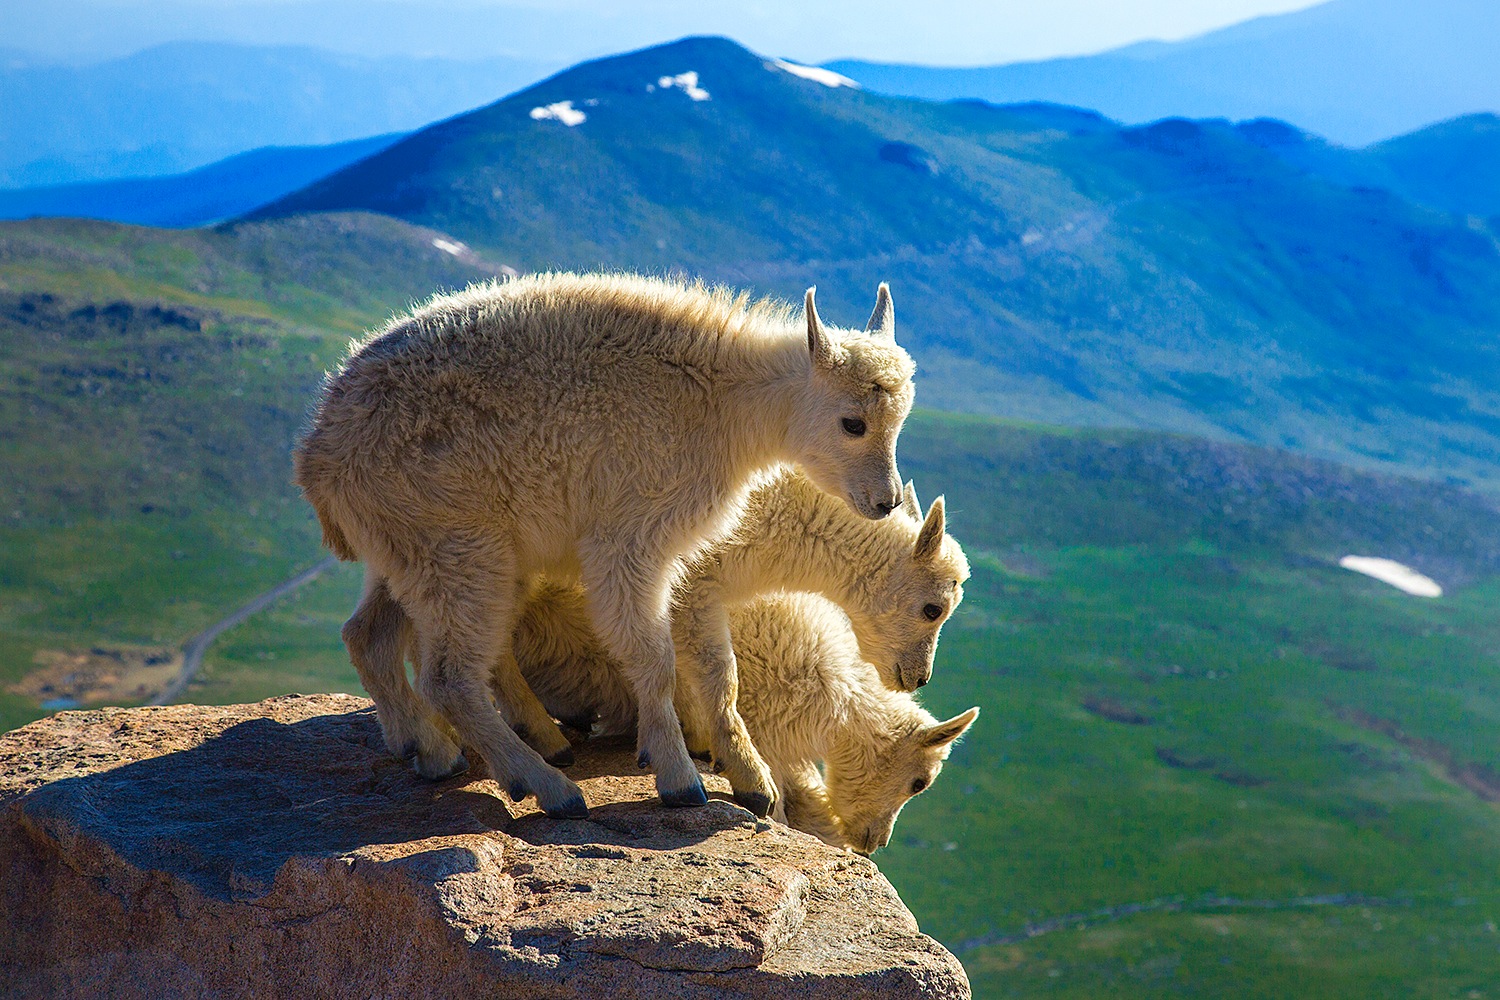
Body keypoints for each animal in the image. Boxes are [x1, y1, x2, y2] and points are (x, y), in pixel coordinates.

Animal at [295, 269, 912, 815]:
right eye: (852, 422)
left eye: (900, 421)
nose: (884, 502)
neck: (724, 405)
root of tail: (317, 458)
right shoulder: (628, 541)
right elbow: (655, 659)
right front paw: (680, 780)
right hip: (460, 549)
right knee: (448, 677)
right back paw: (548, 786)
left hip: (407, 550)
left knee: (368, 636)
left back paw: (431, 749)